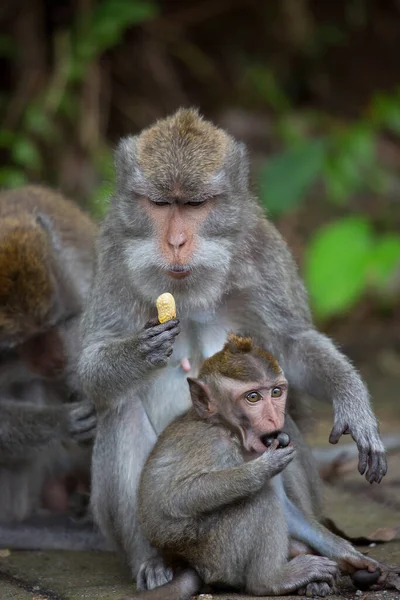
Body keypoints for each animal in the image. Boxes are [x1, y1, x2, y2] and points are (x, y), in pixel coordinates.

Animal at [126, 332, 380, 600]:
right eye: (253, 397)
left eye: (276, 392)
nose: (274, 417)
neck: (231, 431)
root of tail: (190, 565)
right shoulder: (213, 444)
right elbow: (174, 499)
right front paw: (260, 470)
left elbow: (288, 509)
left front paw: (350, 555)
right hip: (216, 556)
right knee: (259, 500)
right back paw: (271, 580)